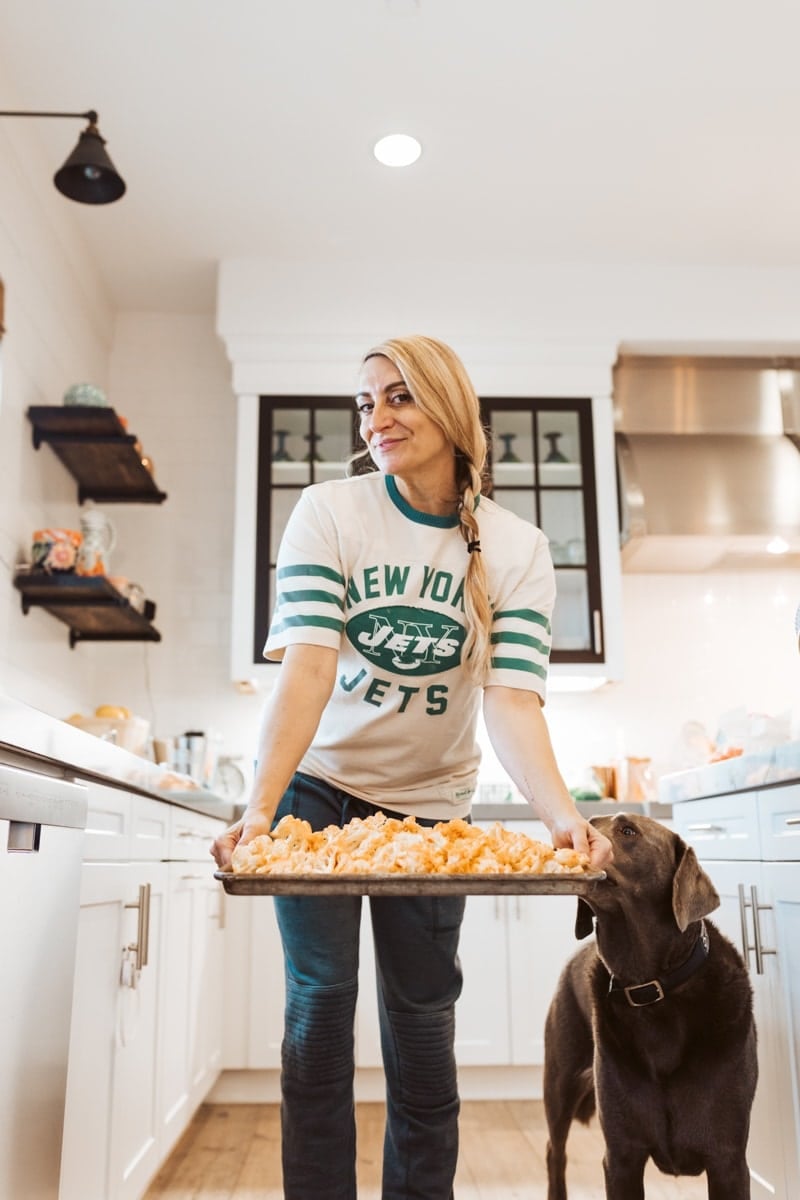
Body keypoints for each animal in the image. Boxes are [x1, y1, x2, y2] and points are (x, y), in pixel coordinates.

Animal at [544, 811, 758, 1195]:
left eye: (628, 831)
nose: (563, 842)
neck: (650, 989)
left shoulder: (728, 1160)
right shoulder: (622, 1157)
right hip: (559, 1082)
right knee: (556, 1152)